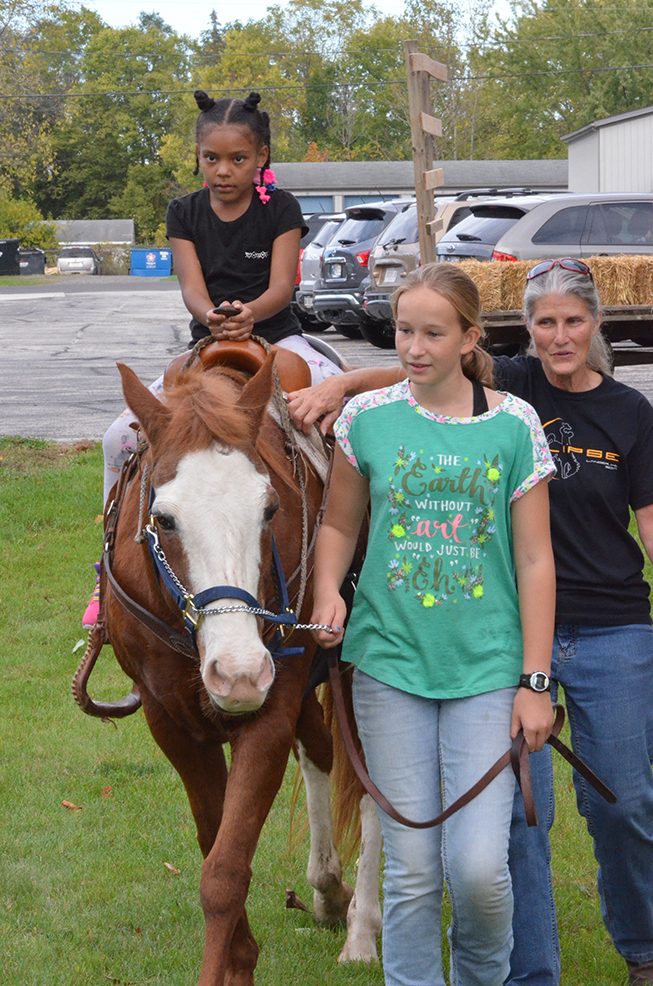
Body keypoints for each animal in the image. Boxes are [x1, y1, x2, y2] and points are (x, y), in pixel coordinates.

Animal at [75, 352, 382, 984]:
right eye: (164, 518)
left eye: (270, 508)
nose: (238, 672)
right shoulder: (171, 722)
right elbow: (213, 840)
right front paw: (242, 958)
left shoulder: (267, 715)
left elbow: (225, 870)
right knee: (320, 750)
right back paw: (327, 890)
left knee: (371, 787)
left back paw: (362, 930)